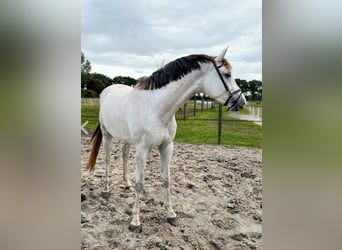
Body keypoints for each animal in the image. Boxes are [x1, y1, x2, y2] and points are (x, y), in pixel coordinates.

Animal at [85, 48, 246, 232]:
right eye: (227, 74)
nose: (242, 102)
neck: (157, 109)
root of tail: (107, 90)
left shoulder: (167, 147)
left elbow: (166, 181)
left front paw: (170, 214)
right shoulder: (142, 149)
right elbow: (140, 183)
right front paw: (135, 222)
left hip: (127, 139)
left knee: (124, 155)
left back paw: (126, 183)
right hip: (107, 135)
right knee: (107, 160)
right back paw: (105, 190)